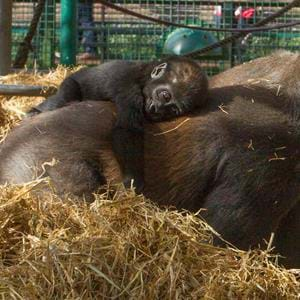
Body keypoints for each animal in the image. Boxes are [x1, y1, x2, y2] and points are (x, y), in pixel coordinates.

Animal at [28, 56, 207, 192]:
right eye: (165, 96)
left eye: (173, 110)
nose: (156, 109)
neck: (144, 75)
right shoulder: (129, 88)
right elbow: (127, 129)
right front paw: (133, 181)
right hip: (70, 82)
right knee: (64, 97)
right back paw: (36, 112)